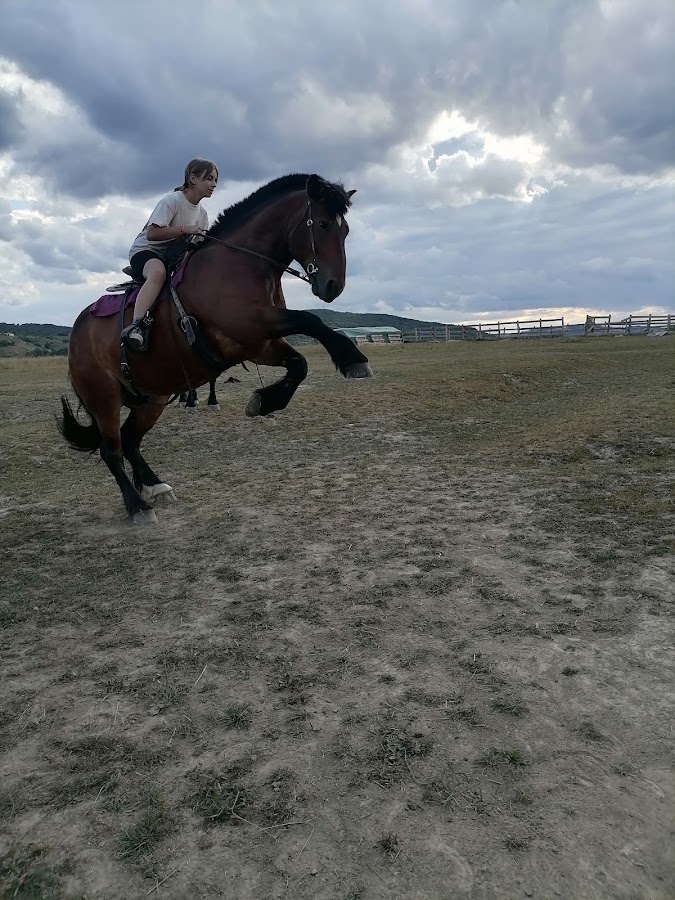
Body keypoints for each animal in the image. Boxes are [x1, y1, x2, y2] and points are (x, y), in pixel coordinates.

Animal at [58, 173, 372, 524]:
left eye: (345, 230)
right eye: (322, 224)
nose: (333, 286)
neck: (239, 263)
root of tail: (77, 331)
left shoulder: (257, 344)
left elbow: (299, 364)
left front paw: (264, 401)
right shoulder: (251, 324)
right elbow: (310, 320)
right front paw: (352, 358)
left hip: (151, 399)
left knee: (130, 440)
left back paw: (154, 486)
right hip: (105, 399)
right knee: (111, 450)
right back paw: (137, 505)